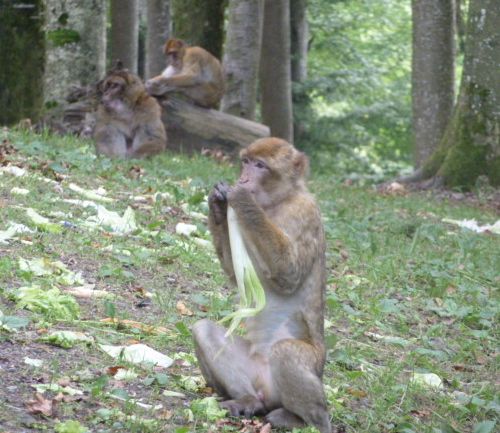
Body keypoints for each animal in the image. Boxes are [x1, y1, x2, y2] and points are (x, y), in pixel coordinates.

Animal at [191, 138, 332, 432]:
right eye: (245, 162)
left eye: (260, 165)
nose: (244, 178)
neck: (278, 202)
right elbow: (236, 277)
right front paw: (217, 204)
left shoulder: (304, 212)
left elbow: (288, 272)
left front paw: (241, 197)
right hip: (255, 376)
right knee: (203, 329)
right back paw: (248, 400)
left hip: (312, 367)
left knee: (286, 352)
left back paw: (304, 419)